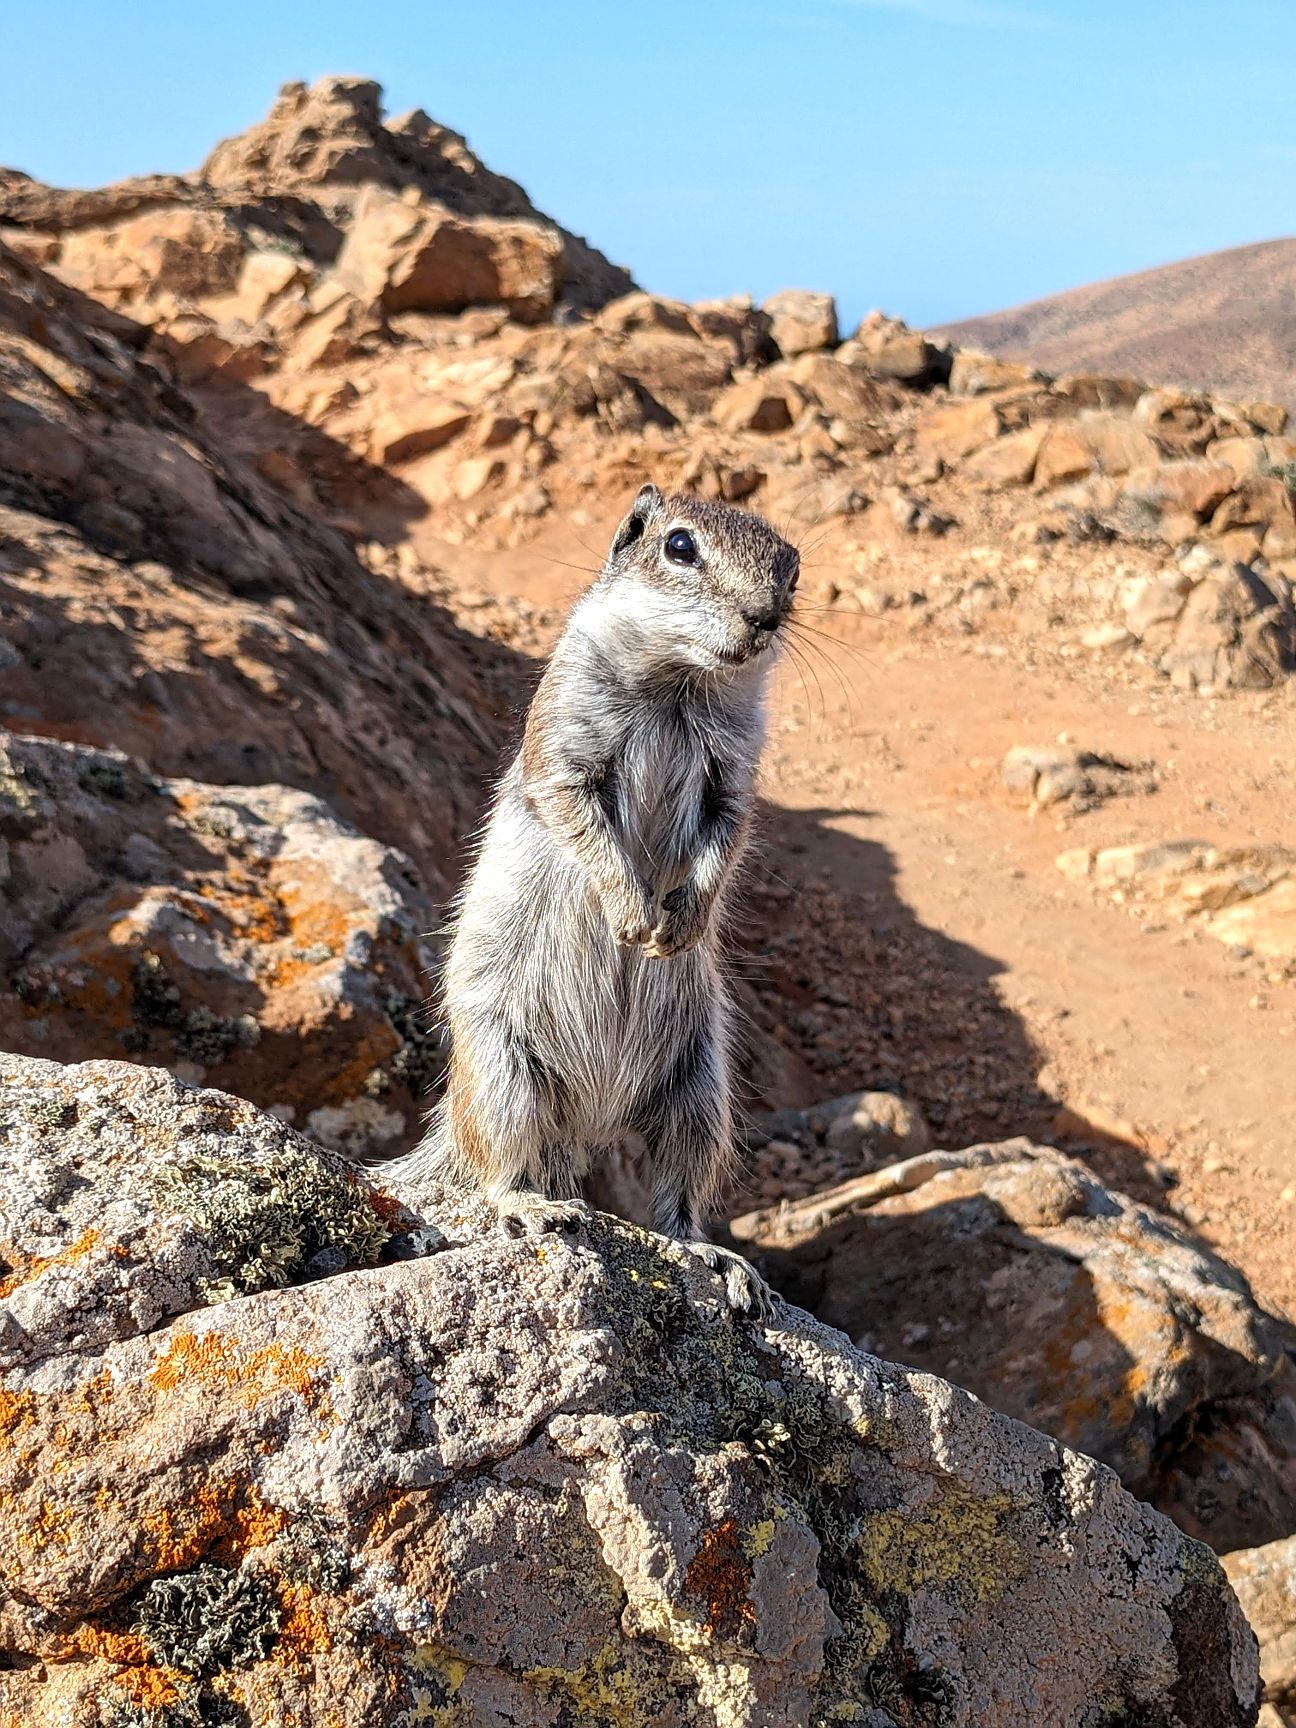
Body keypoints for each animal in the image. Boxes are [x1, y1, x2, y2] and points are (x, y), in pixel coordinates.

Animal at [395, 480, 801, 1313]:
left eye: (794, 567)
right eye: (679, 546)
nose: (765, 618)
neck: (678, 684)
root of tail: (591, 1119)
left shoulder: (735, 776)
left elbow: (727, 838)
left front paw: (680, 925)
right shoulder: (566, 743)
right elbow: (578, 817)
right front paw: (635, 917)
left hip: (699, 1093)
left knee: (677, 1195)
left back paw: (716, 1258)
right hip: (504, 1074)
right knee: (499, 1167)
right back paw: (533, 1208)